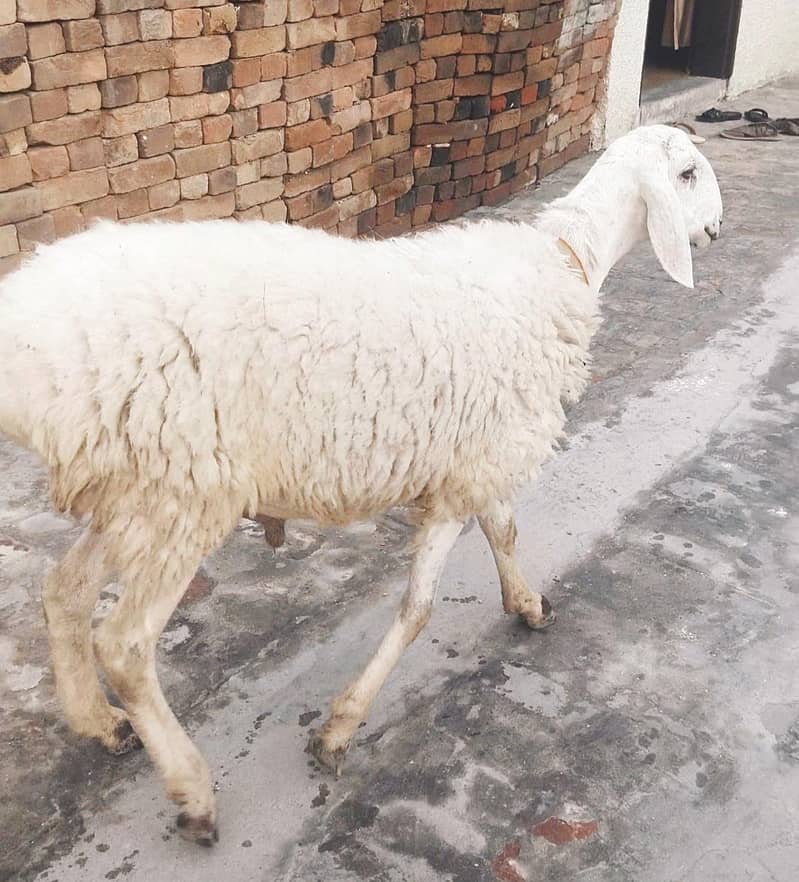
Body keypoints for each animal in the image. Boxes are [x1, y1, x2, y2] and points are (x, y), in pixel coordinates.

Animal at [0, 124, 722, 844]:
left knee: (65, 591)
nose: (716, 227)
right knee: (124, 645)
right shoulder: (468, 469)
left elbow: (504, 531)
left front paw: (526, 605)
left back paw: (99, 723)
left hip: (137, 486)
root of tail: (25, 340)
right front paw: (340, 726)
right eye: (688, 173)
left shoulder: (480, 454)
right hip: (182, 487)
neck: (566, 261)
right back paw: (191, 788)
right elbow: (418, 608)